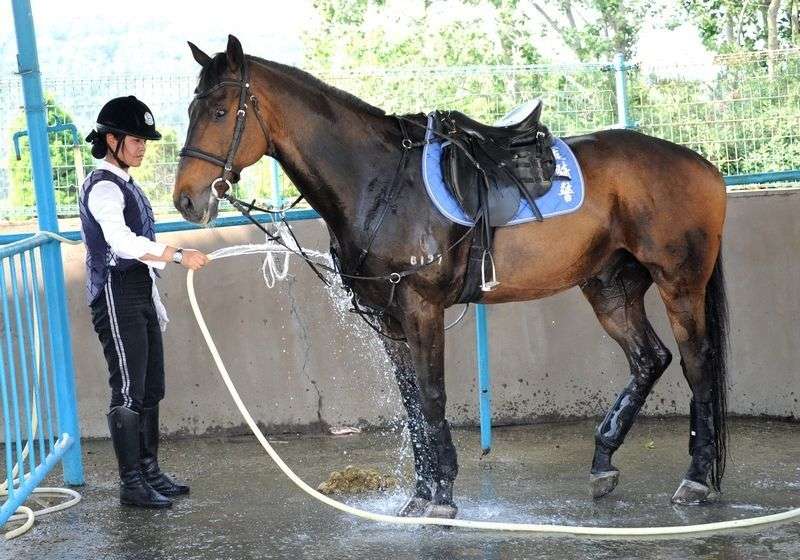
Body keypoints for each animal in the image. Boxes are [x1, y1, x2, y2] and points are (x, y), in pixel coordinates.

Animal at [173, 35, 729, 519]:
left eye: (219, 112)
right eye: (192, 110)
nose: (185, 199)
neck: (378, 182)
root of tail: (704, 166)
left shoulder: (421, 308)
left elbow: (432, 395)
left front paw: (441, 496)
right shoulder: (389, 320)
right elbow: (413, 404)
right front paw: (421, 494)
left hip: (680, 283)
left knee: (696, 363)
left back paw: (696, 480)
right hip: (610, 289)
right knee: (649, 359)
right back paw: (602, 462)